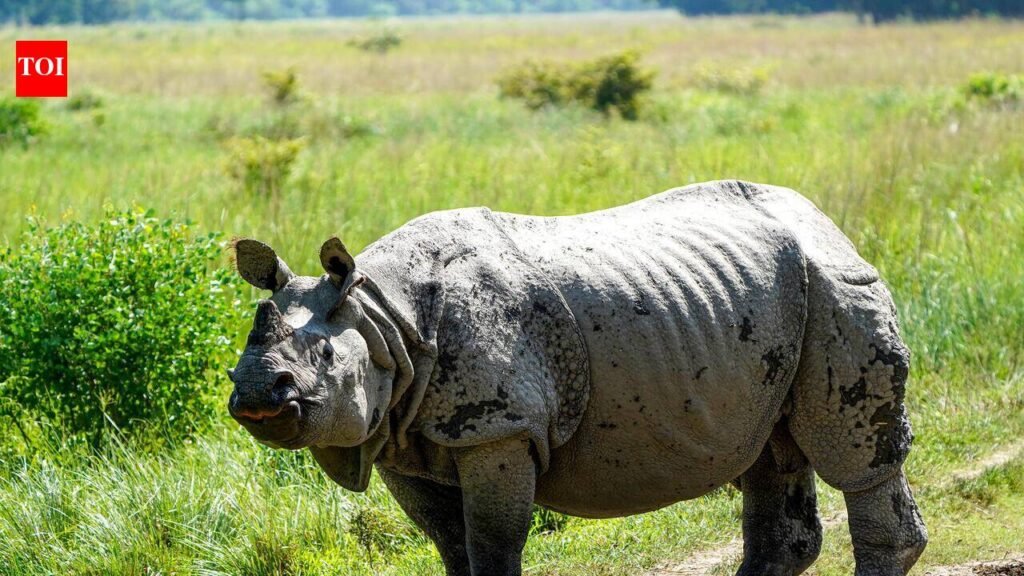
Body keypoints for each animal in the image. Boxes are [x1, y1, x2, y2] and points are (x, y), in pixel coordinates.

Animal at [228, 180, 927, 576]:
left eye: (325, 358)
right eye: (243, 354)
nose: (258, 396)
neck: (383, 318)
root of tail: (826, 221)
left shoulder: (498, 428)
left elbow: (492, 547)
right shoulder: (401, 431)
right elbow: (451, 547)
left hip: (836, 283)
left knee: (856, 458)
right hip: (764, 308)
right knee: (766, 450)